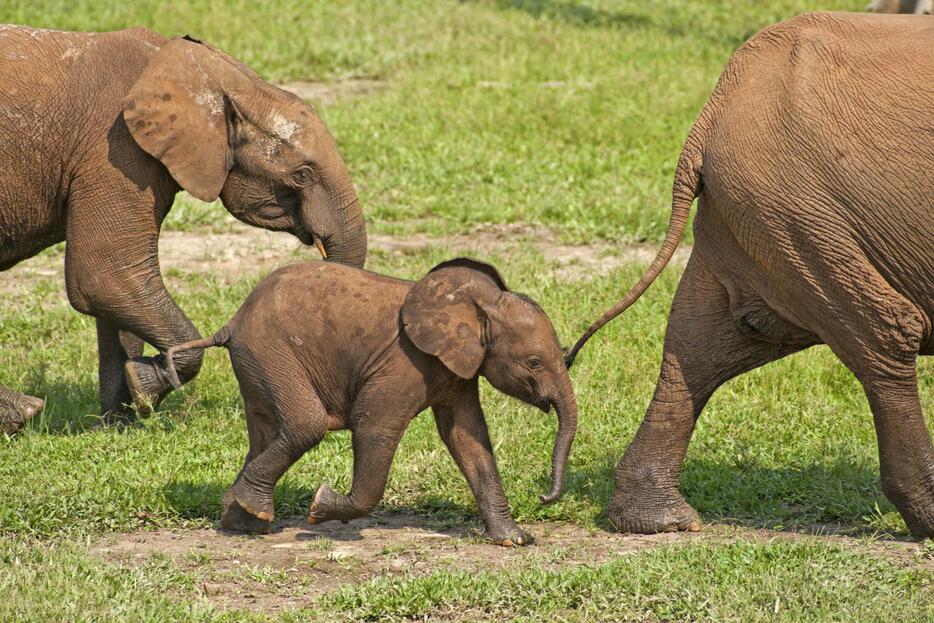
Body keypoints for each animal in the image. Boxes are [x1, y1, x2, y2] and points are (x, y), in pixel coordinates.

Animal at [0, 25, 368, 434]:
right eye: (303, 174)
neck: (214, 80)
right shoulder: (115, 151)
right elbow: (106, 277)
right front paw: (146, 389)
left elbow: (113, 297)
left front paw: (120, 422)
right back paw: (24, 413)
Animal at [169, 258, 576, 544]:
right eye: (534, 363)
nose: (543, 497)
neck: (477, 304)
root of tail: (231, 323)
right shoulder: (405, 362)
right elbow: (374, 426)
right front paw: (319, 505)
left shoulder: (457, 369)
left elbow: (467, 438)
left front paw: (515, 540)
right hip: (270, 351)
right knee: (306, 425)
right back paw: (254, 514)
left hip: (257, 362)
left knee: (264, 434)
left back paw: (242, 522)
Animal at [564, 13, 934, 540]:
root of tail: (717, 103)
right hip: (799, 207)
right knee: (885, 331)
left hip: (758, 212)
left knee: (705, 340)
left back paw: (659, 521)